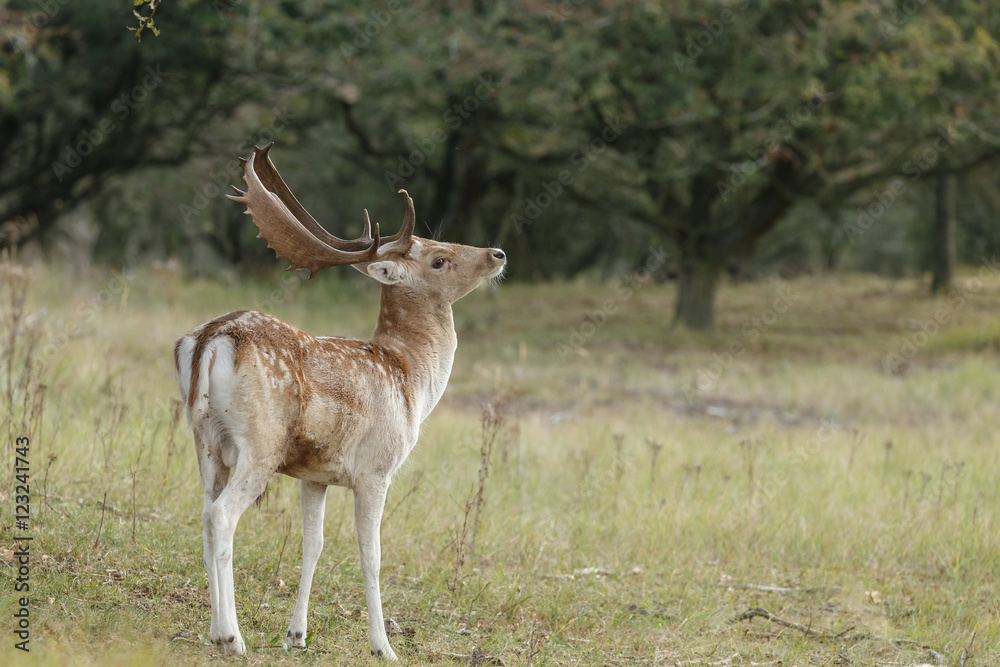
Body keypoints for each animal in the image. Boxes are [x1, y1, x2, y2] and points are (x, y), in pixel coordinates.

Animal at [173, 144, 506, 660]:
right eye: (439, 259)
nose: (498, 253)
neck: (410, 378)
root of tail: (211, 338)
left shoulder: (316, 474)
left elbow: (314, 545)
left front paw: (296, 635)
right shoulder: (376, 469)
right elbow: (372, 556)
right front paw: (383, 647)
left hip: (205, 441)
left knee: (205, 514)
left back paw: (214, 631)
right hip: (261, 445)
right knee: (223, 515)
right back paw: (232, 637)